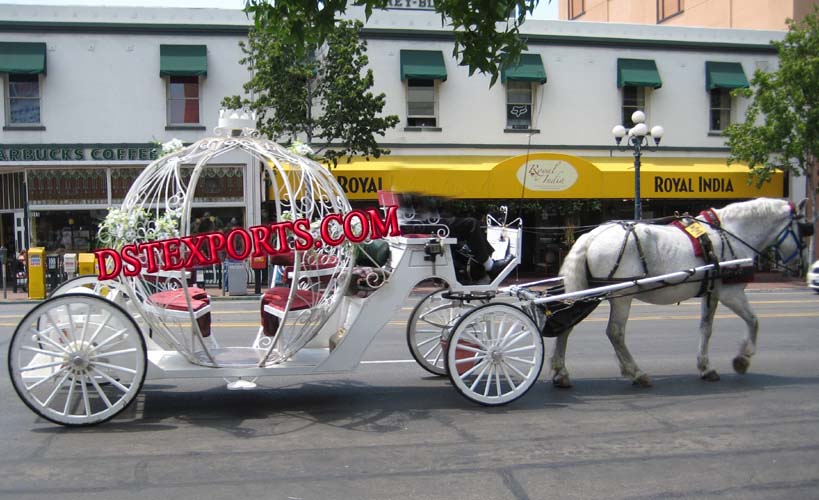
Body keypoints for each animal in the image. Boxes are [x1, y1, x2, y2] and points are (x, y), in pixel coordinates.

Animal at [552, 197, 808, 388]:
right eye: (805, 227)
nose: (802, 263)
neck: (729, 234)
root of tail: (591, 235)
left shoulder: (711, 293)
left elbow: (706, 328)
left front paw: (705, 367)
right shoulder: (730, 292)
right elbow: (753, 320)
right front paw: (742, 359)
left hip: (588, 291)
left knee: (566, 324)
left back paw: (561, 372)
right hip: (622, 295)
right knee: (614, 332)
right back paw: (636, 373)